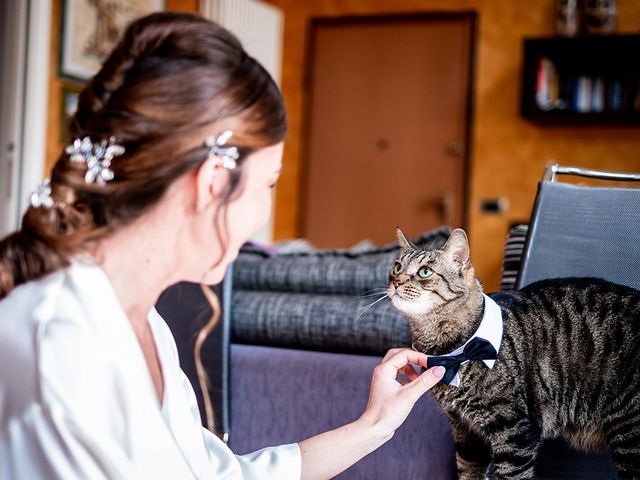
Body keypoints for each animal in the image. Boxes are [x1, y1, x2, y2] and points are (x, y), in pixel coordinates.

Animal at [388, 228, 636, 480]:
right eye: (396, 267)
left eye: (424, 271)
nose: (396, 281)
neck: (450, 351)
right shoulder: (465, 433)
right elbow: (467, 472)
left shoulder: (514, 433)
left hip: (629, 432)